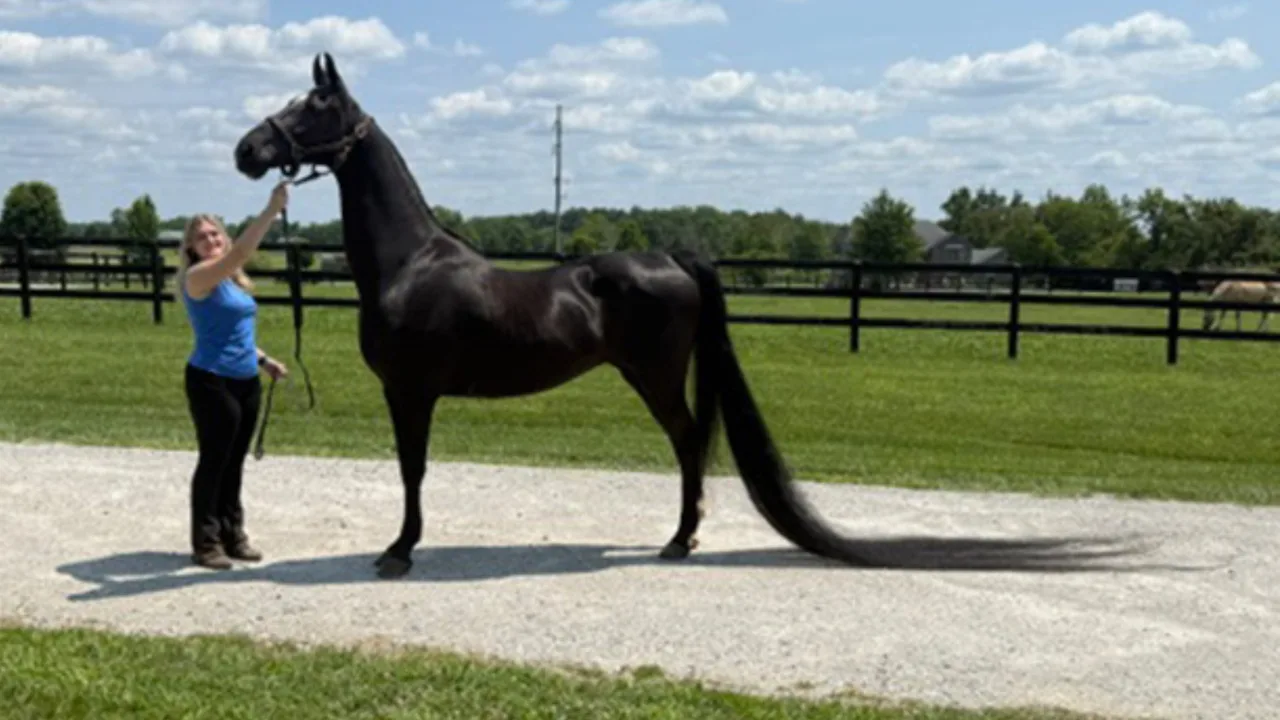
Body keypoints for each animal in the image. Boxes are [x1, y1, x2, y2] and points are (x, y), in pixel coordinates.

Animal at [230, 53, 881, 579]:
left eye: (315, 105)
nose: (247, 150)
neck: (408, 262)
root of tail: (671, 256)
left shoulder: (409, 391)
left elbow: (412, 470)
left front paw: (399, 551)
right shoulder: (408, 392)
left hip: (656, 375)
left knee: (688, 441)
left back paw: (678, 540)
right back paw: (684, 537)